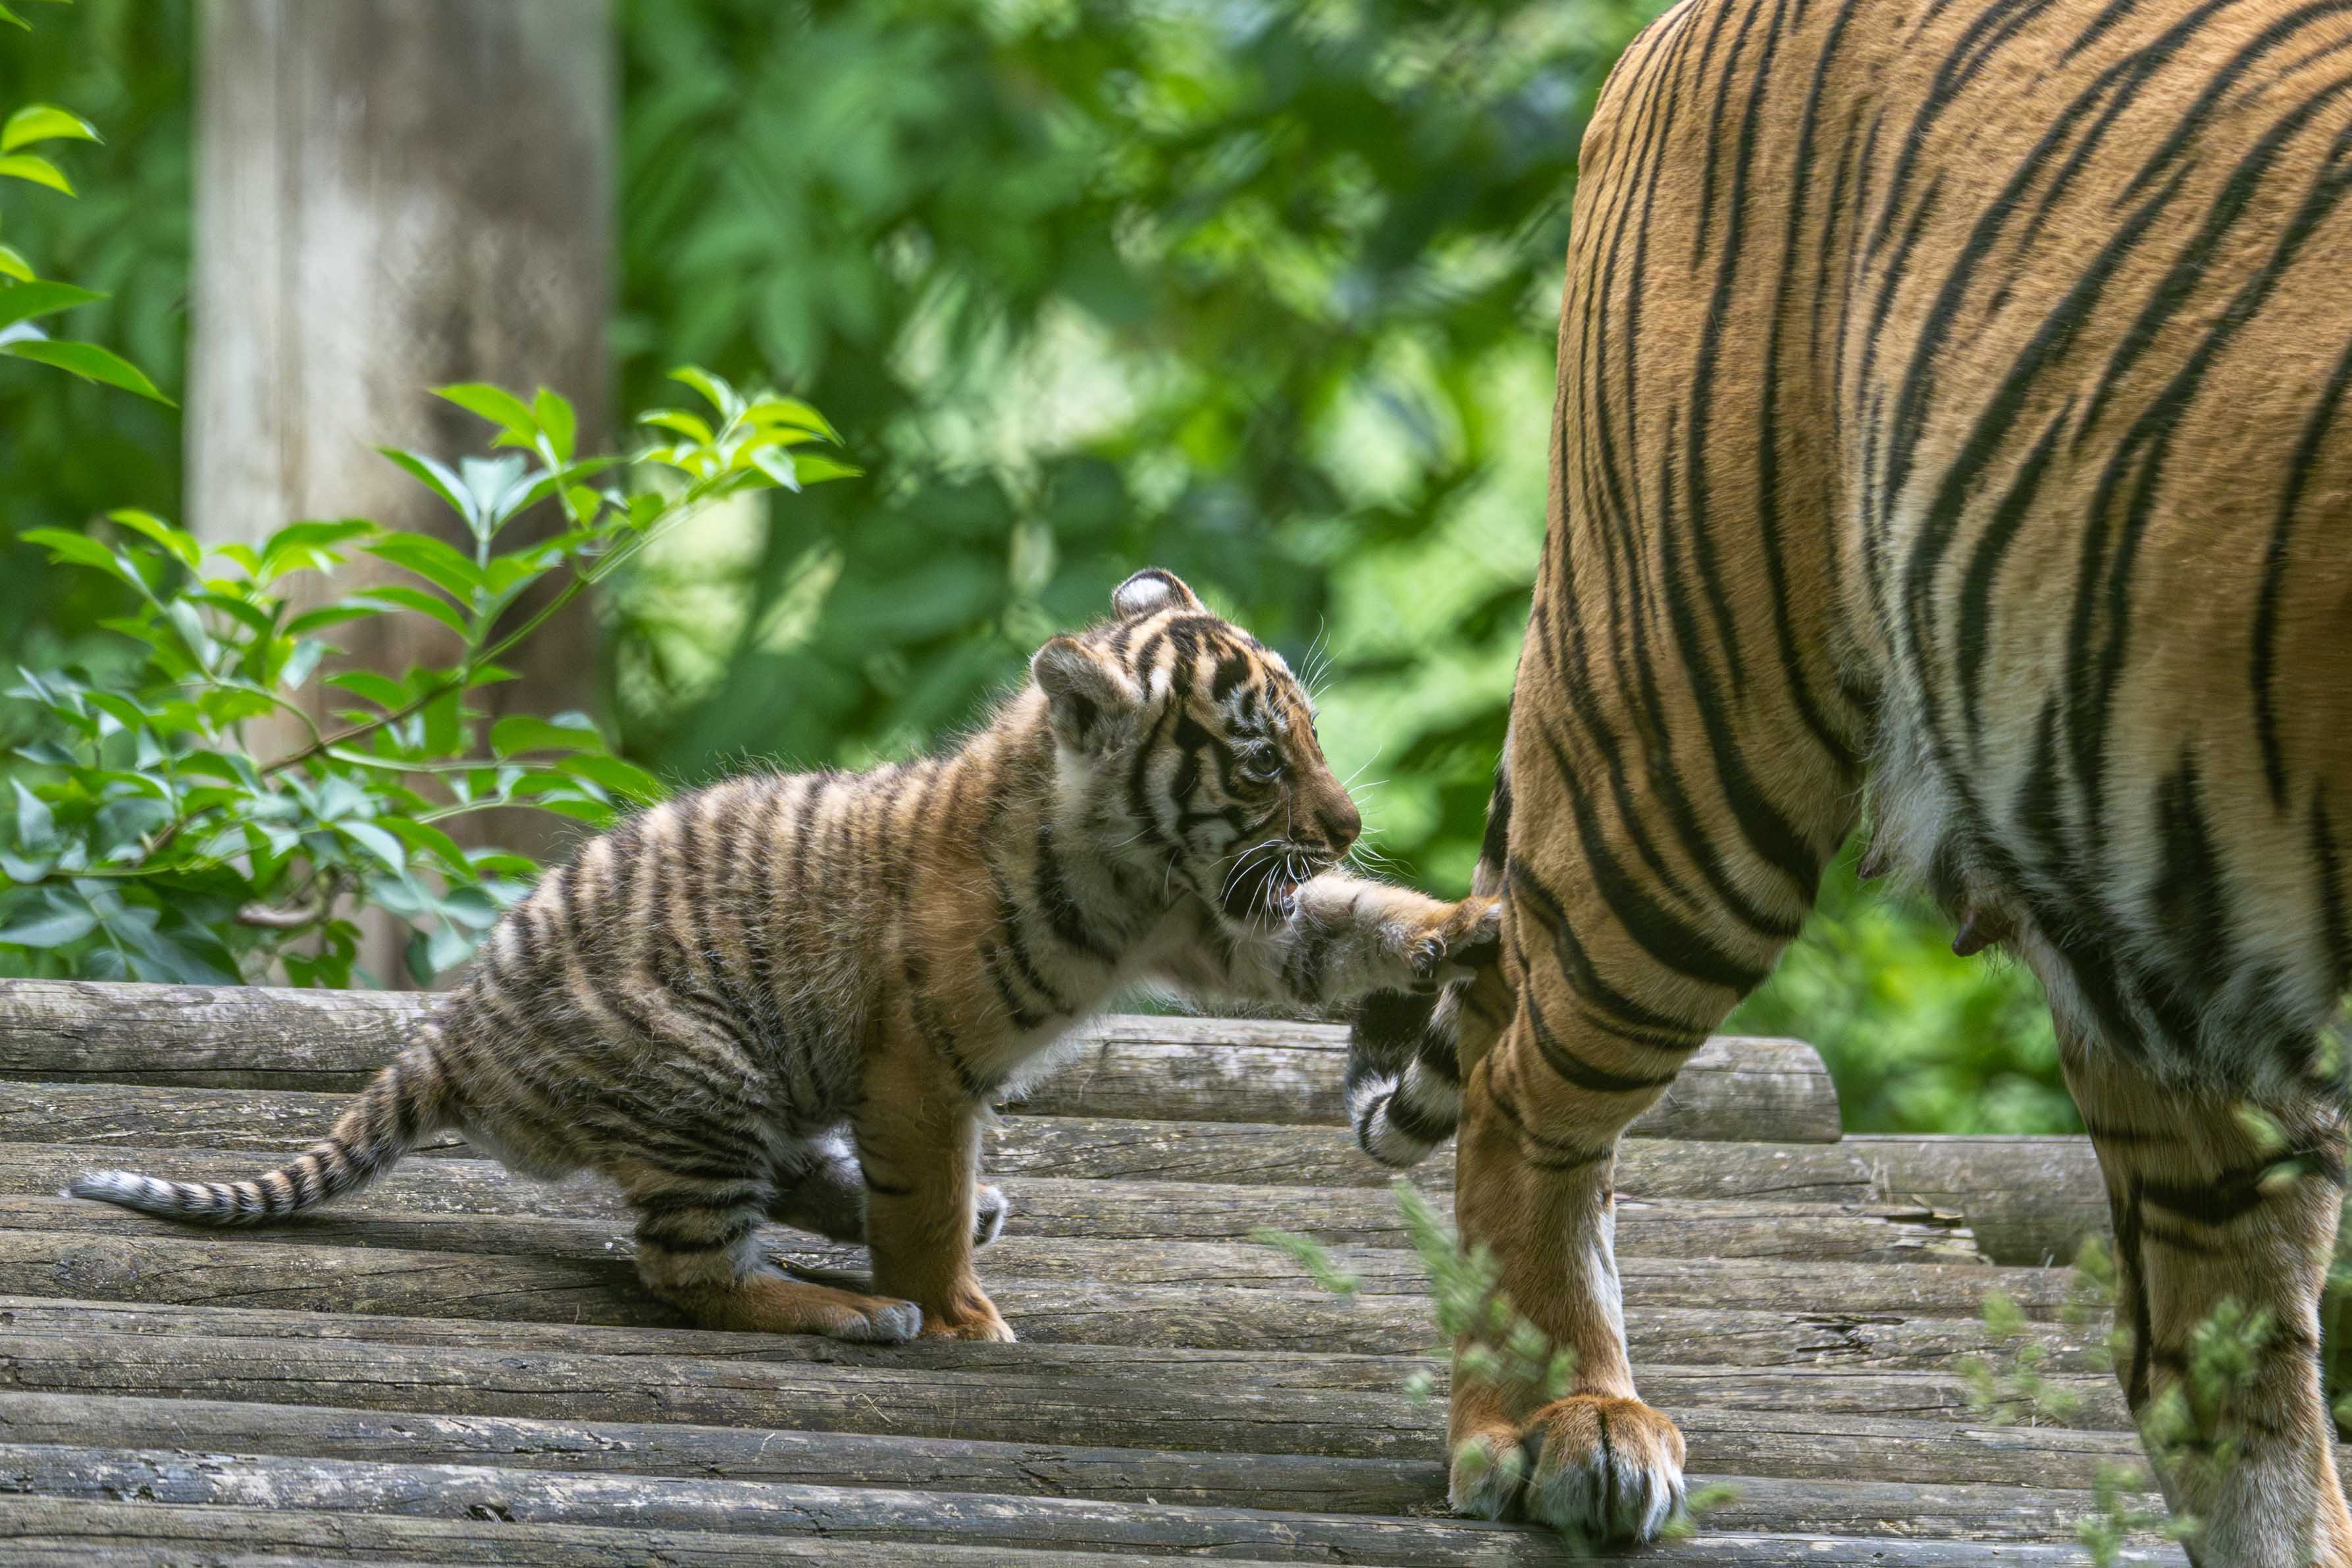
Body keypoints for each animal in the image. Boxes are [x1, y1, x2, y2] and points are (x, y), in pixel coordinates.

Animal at [71, 568, 1499, 1345]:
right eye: (1260, 761)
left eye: (1310, 736)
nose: (1345, 824)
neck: (1138, 861)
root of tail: (452, 1029)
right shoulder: (923, 1058)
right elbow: (922, 1202)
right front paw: (958, 1309)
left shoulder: (1228, 917)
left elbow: (1342, 930)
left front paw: (1460, 928)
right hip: (704, 1081)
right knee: (685, 1269)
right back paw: (856, 1306)